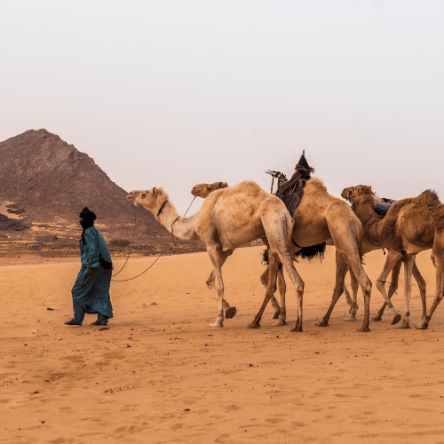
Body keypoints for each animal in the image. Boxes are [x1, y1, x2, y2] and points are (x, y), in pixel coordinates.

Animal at [125, 180, 306, 330]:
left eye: (144, 194)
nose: (130, 193)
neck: (194, 222)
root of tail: (285, 213)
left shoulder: (211, 245)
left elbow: (220, 285)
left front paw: (218, 320)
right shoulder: (225, 250)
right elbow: (210, 280)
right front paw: (230, 310)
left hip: (273, 225)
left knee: (294, 278)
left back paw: (294, 325)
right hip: (269, 236)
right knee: (280, 278)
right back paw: (277, 320)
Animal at [334, 186, 442, 328]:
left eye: (354, 189)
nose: (343, 191)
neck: (378, 226)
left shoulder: (394, 252)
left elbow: (378, 282)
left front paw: (397, 316)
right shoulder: (406, 254)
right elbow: (407, 286)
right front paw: (406, 320)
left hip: (438, 251)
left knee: (437, 288)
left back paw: (423, 321)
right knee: (421, 282)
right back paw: (423, 319)